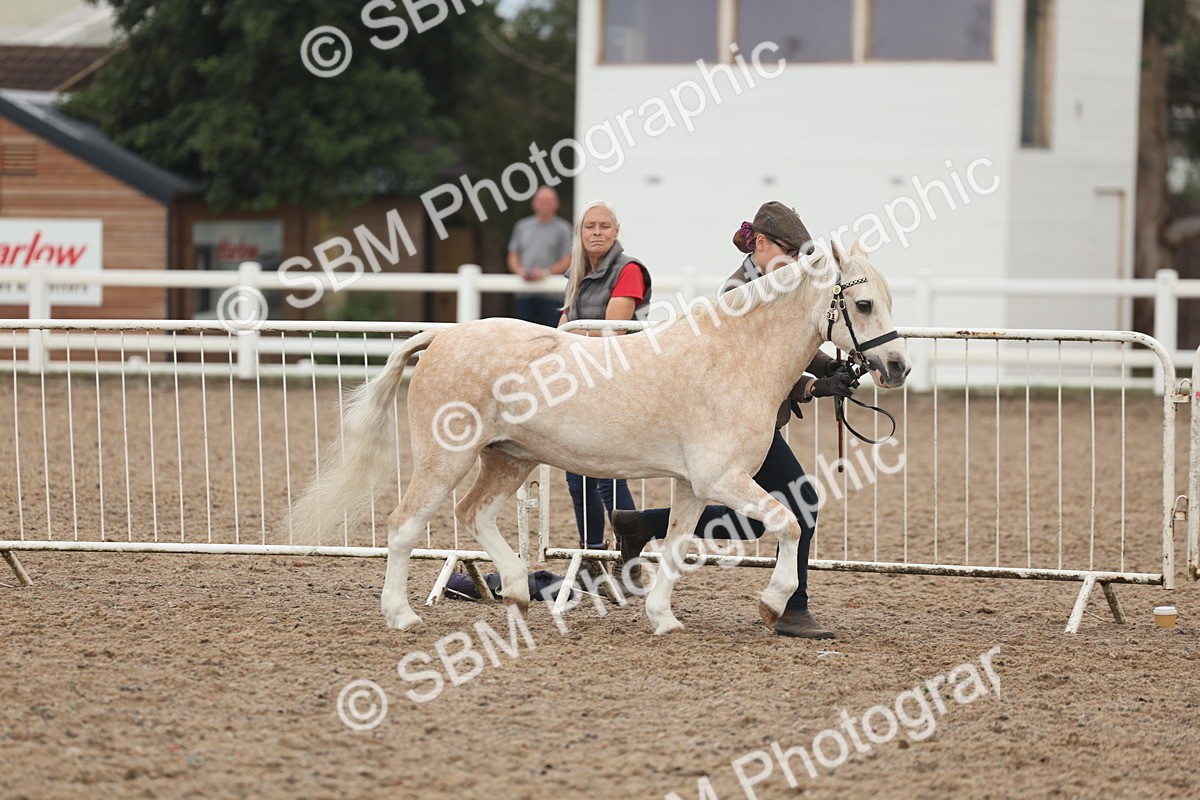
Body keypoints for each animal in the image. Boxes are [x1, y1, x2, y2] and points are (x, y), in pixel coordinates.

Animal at [293, 240, 911, 635]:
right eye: (862, 304)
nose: (898, 366)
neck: (734, 357)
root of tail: (440, 339)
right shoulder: (723, 479)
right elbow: (786, 523)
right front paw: (771, 605)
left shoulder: (694, 485)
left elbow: (677, 544)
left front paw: (663, 618)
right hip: (446, 459)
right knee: (404, 526)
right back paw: (401, 615)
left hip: (509, 459)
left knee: (475, 515)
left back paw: (518, 591)